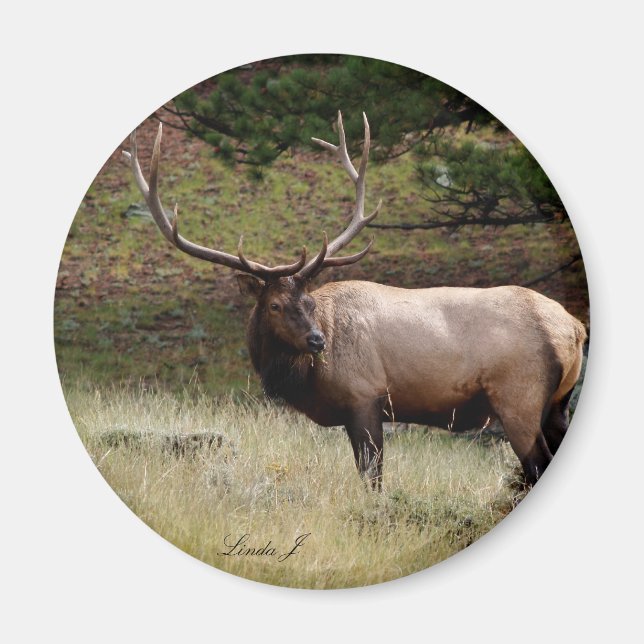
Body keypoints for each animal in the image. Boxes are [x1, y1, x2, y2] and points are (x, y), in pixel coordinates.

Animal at [123, 111, 586, 491]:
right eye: (275, 305)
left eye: (309, 303)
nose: (317, 341)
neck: (304, 380)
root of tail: (574, 328)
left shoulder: (365, 398)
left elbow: (373, 479)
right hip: (557, 405)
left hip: (519, 398)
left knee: (535, 465)